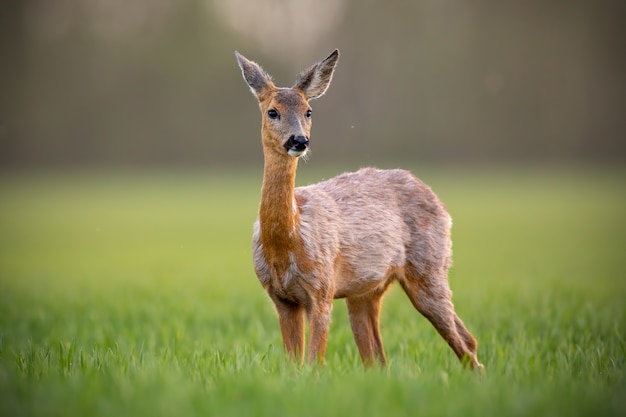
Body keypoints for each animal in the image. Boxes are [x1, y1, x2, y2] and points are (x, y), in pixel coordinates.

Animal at [234, 48, 482, 368]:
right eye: (272, 111)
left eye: (309, 111)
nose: (299, 140)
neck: (286, 241)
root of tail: (440, 202)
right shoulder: (282, 299)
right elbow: (294, 366)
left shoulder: (322, 289)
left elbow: (314, 364)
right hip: (365, 293)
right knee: (381, 358)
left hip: (429, 268)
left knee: (466, 343)